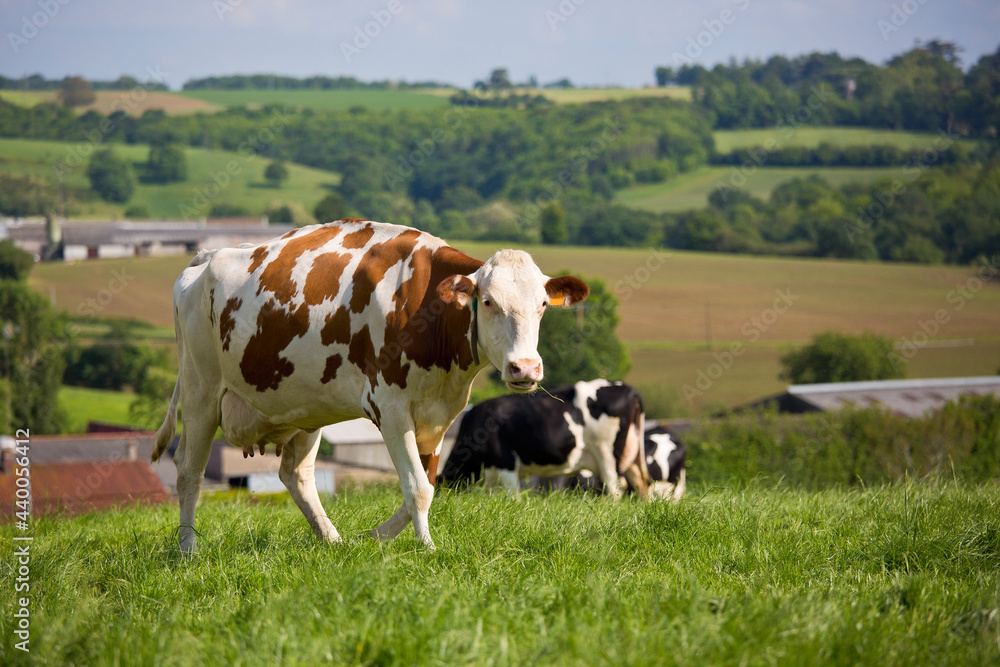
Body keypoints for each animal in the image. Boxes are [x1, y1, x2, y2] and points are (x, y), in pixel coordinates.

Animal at [152, 220, 588, 552]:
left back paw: (332, 541)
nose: (525, 368)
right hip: (201, 391)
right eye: (489, 302)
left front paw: (375, 537)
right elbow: (417, 488)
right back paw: (188, 549)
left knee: (296, 475)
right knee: (188, 472)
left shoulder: (439, 414)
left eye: (542, 306)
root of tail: (205, 257)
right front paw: (428, 549)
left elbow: (425, 485)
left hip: (305, 407)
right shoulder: (390, 407)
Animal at [438, 378, 648, 498]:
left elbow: (513, 497)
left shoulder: (506, 464)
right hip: (633, 456)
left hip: (607, 454)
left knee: (614, 489)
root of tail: (628, 389)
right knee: (642, 486)